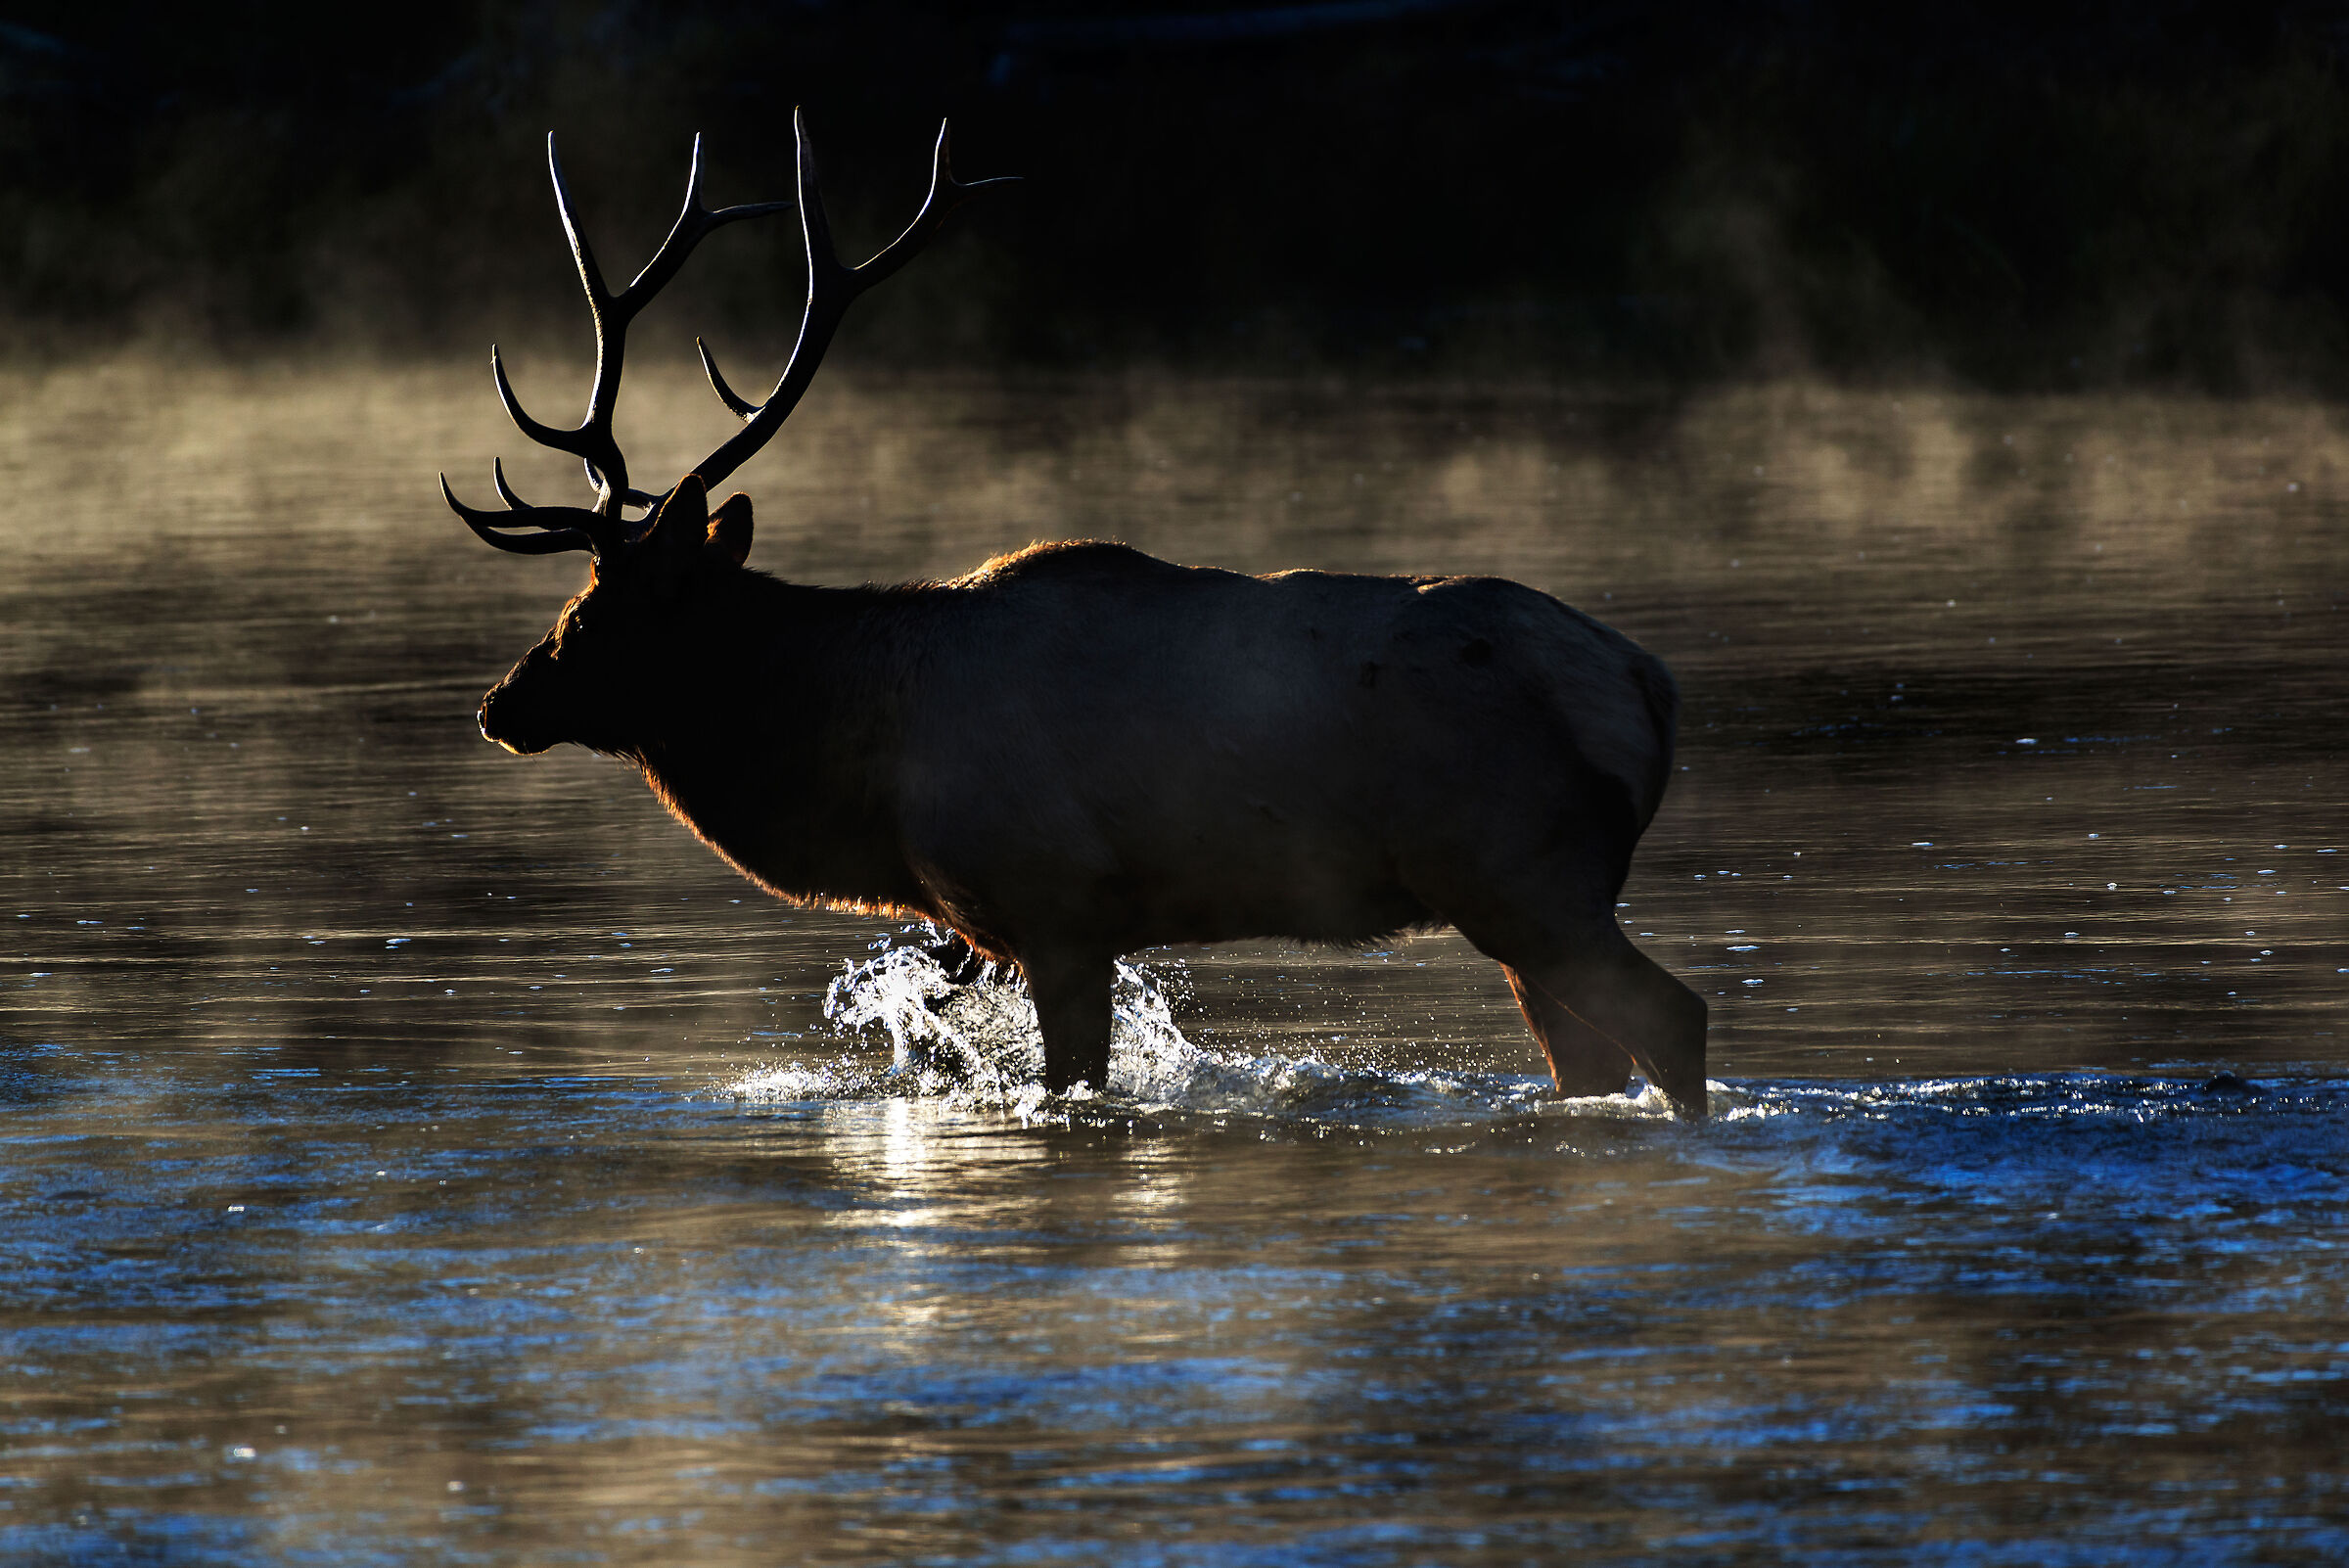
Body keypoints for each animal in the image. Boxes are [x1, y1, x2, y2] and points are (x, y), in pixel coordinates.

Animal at [440, 115, 1711, 1118]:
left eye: (594, 612)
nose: (500, 705)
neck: (867, 773)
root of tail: (1646, 686)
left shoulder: (1058, 904)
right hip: (1521, 892)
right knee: (1591, 1060)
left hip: (1519, 866)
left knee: (1674, 1016)